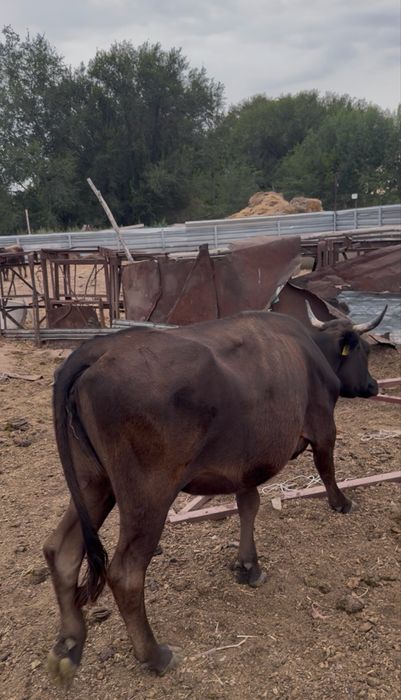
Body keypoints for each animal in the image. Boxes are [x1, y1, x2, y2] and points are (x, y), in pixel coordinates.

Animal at [43, 303, 386, 685]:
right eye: (365, 350)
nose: (373, 385)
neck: (312, 349)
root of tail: (96, 349)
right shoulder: (324, 425)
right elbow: (327, 468)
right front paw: (342, 502)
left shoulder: (248, 460)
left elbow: (249, 505)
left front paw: (248, 565)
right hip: (148, 494)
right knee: (125, 572)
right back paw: (155, 655)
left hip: (93, 482)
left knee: (61, 550)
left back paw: (69, 646)